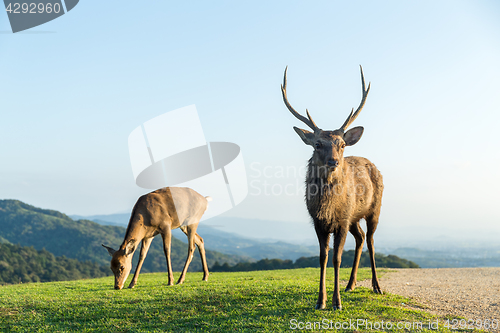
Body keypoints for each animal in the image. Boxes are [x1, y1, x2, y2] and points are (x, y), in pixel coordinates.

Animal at [282, 66, 382, 310]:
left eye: (342, 144)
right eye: (318, 144)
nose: (333, 162)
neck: (328, 208)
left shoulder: (342, 221)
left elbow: (337, 258)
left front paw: (336, 302)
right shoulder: (318, 221)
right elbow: (323, 258)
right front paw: (321, 301)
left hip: (375, 209)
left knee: (371, 240)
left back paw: (376, 286)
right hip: (355, 216)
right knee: (361, 237)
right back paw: (351, 285)